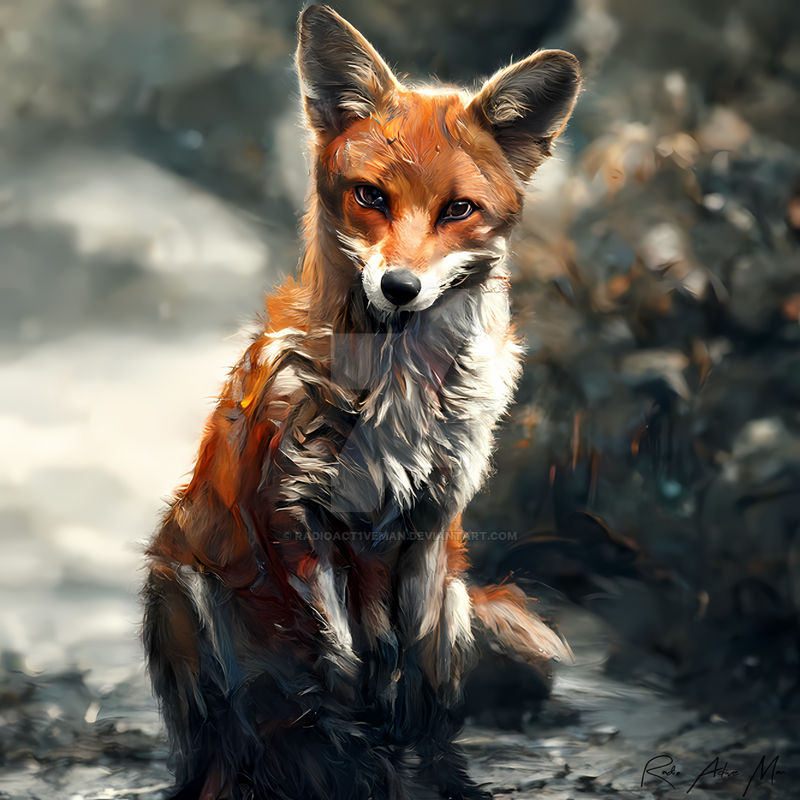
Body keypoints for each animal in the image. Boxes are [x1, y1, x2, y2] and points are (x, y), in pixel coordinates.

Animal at [143, 6, 581, 800]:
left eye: (459, 210)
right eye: (371, 196)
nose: (400, 287)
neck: (396, 397)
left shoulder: (431, 524)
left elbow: (422, 677)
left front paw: (429, 764)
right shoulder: (298, 514)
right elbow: (339, 662)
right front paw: (359, 747)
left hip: (458, 591)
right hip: (182, 584)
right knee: (228, 734)